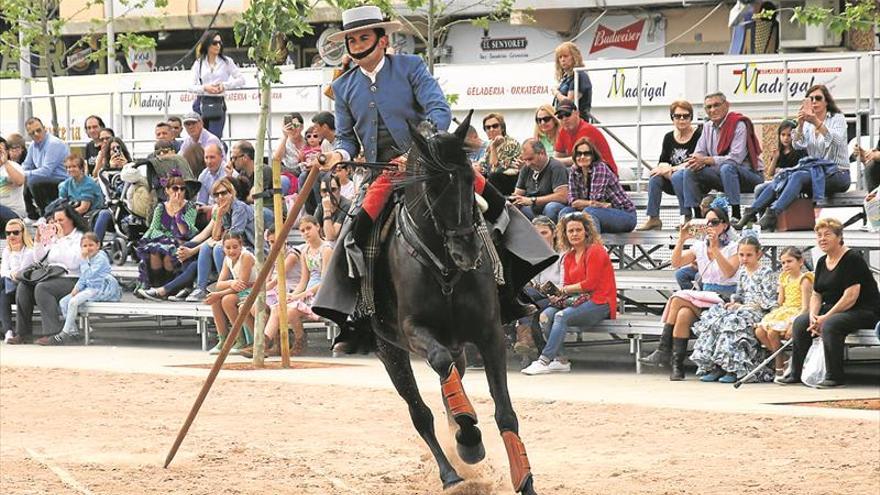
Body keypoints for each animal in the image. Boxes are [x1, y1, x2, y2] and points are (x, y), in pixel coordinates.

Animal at [366, 114, 536, 494]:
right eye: (431, 187)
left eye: (470, 179)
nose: (467, 251)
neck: (444, 269)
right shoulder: (413, 331)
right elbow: (439, 370)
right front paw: (469, 436)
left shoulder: (489, 334)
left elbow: (506, 413)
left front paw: (524, 480)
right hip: (390, 350)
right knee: (421, 412)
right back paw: (452, 471)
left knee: (447, 388)